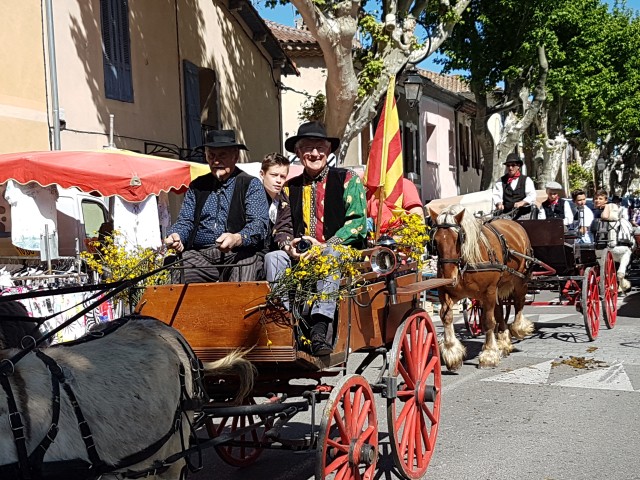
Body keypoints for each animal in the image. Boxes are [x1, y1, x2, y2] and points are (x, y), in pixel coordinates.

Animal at [430, 204, 536, 370]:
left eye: (459, 239)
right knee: (500, 312)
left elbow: (488, 321)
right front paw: (452, 353)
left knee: (519, 303)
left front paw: (489, 355)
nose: (449, 278)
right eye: (435, 241)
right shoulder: (445, 292)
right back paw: (504, 342)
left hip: (519, 281)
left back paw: (518, 328)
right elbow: (446, 317)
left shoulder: (489, 292)